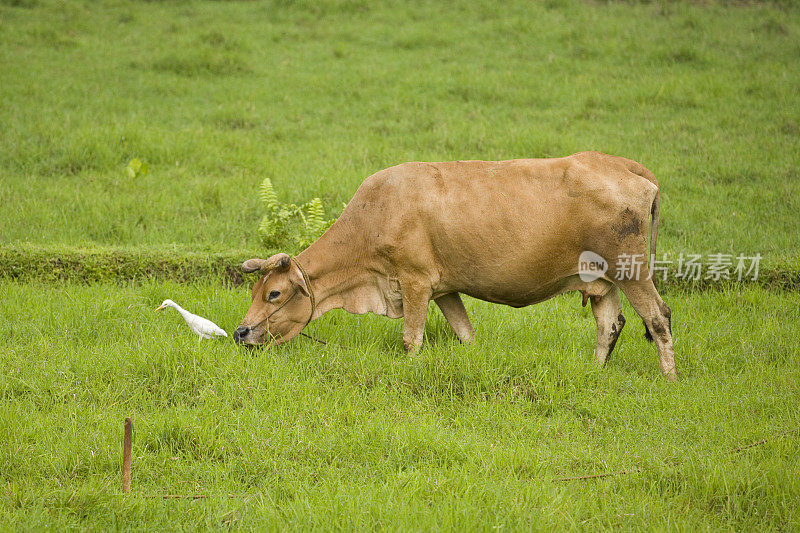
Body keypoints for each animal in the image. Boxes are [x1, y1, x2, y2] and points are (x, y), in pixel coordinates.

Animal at [236, 152, 676, 380]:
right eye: (254, 290)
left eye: (274, 293)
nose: (241, 332)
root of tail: (623, 164)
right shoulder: (444, 289)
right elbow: (466, 335)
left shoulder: (414, 282)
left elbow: (411, 339)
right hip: (602, 279)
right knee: (610, 325)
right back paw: (596, 373)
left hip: (633, 270)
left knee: (659, 318)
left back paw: (669, 379)